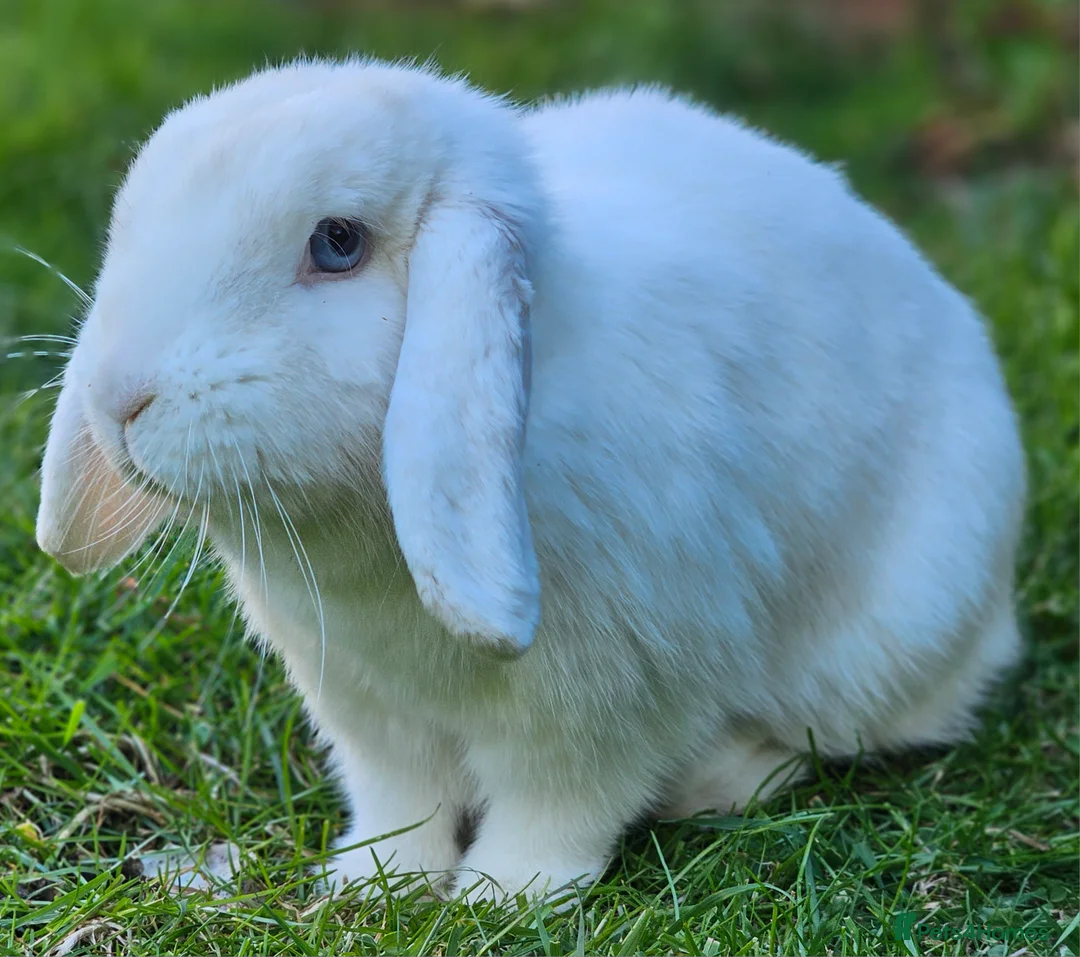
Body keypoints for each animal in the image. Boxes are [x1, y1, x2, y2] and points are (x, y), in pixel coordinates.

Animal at [35, 57, 1026, 904]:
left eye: (337, 242)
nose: (117, 398)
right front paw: (372, 885)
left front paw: (500, 898)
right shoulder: (365, 705)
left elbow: (560, 807)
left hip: (884, 643)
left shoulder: (610, 702)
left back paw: (718, 780)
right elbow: (402, 805)